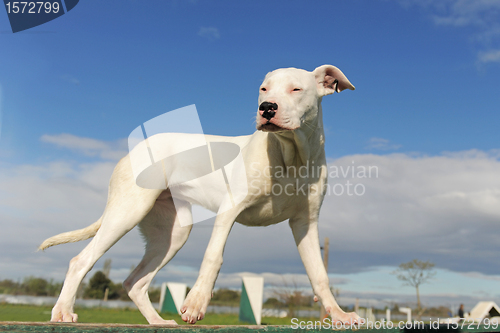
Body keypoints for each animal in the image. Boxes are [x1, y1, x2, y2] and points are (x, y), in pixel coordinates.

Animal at [41, 65, 358, 324]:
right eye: (264, 89)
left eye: (296, 89)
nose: (267, 107)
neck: (291, 157)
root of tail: (133, 149)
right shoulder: (230, 210)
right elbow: (213, 256)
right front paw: (195, 303)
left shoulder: (306, 223)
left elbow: (319, 274)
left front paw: (339, 314)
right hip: (127, 212)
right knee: (81, 261)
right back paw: (63, 312)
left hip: (171, 234)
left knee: (135, 282)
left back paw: (158, 322)